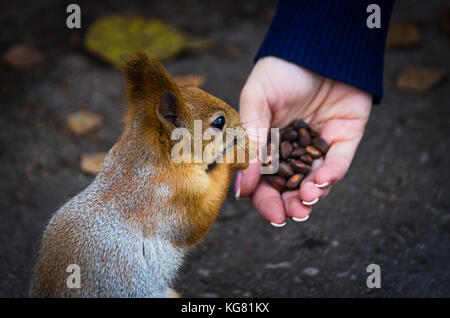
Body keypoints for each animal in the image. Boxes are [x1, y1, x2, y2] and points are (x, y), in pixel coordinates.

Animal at [31, 51, 250, 296]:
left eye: (196, 87)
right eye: (220, 122)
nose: (240, 120)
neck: (144, 159)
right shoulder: (178, 197)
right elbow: (202, 218)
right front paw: (238, 156)